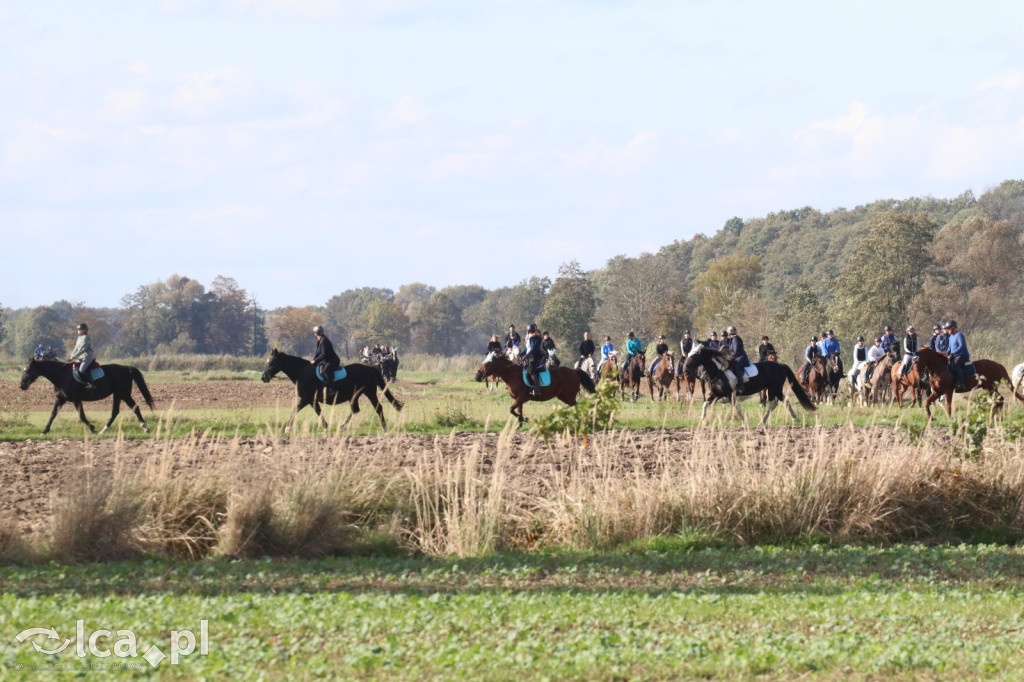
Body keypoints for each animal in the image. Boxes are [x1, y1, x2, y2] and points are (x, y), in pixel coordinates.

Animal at [18, 358, 154, 432]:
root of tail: (127, 368)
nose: (21, 385)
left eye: (28, 370)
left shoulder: (76, 399)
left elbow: (82, 416)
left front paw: (93, 429)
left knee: (123, 410)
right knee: (127, 409)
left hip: (121, 394)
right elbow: (52, 414)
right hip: (122, 395)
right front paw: (45, 431)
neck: (61, 375)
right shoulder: (60, 399)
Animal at [260, 350, 403, 430]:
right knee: (355, 410)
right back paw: (342, 426)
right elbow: (318, 412)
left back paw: (384, 428)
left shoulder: (306, 398)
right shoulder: (312, 400)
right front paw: (326, 427)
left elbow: (295, 410)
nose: (263, 377)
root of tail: (370, 368)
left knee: (378, 408)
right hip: (354, 396)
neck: (302, 372)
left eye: (272, 362)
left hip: (370, 393)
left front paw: (287, 428)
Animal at [679, 346, 815, 425]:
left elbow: (736, 407)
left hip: (773, 388)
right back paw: (792, 419)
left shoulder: (730, 394)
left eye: (694, 356)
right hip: (775, 389)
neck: (719, 372)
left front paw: (744, 421)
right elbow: (705, 404)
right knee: (783, 402)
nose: (685, 370)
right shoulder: (716, 394)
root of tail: (780, 365)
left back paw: (763, 421)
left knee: (774, 403)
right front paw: (703, 420)